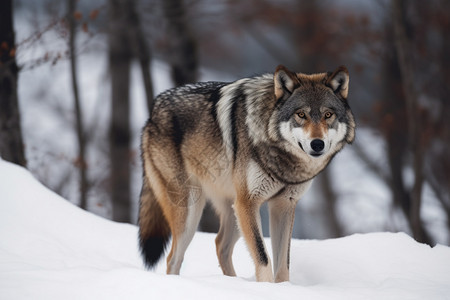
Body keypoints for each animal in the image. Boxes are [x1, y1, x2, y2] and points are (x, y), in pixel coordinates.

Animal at [137, 65, 356, 282]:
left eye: (328, 115)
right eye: (301, 115)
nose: (317, 144)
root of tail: (153, 110)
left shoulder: (283, 205)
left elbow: (283, 265)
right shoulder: (249, 202)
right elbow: (263, 257)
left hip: (234, 210)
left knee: (220, 245)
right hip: (192, 212)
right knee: (173, 258)